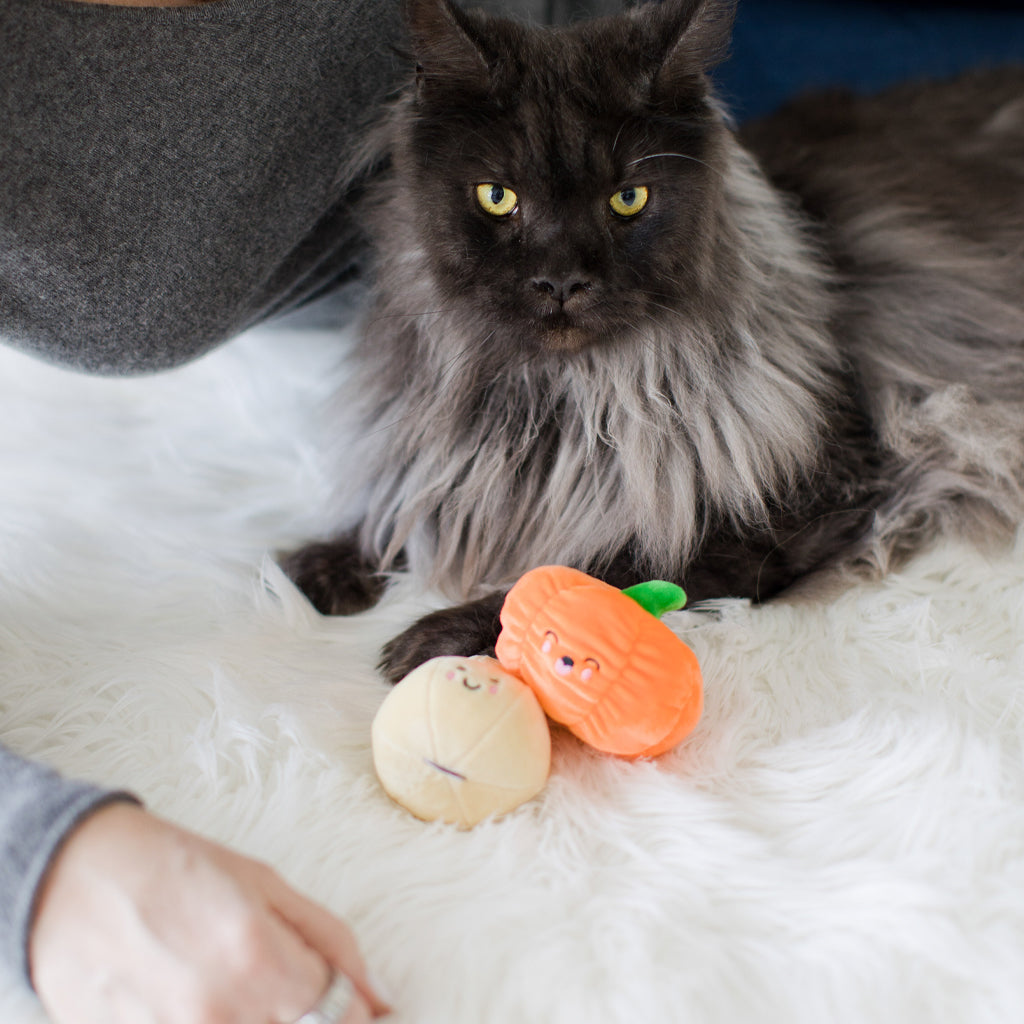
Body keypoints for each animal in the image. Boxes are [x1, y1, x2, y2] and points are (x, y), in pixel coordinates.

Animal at [284, 0, 1024, 679]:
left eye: (628, 200)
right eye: (497, 197)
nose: (561, 280)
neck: (556, 403)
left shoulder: (816, 494)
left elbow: (588, 575)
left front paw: (434, 637)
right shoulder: (452, 463)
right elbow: (399, 510)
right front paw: (314, 570)